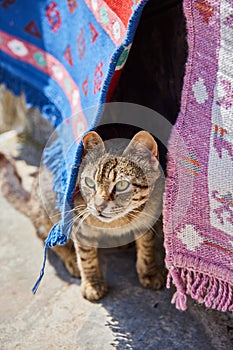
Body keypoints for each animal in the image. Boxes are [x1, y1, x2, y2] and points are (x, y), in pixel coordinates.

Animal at [0, 130, 165, 300]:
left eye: (122, 185)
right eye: (89, 182)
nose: (99, 206)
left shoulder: (149, 222)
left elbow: (146, 249)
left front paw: (149, 272)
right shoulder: (81, 227)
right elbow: (86, 257)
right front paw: (92, 283)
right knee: (47, 238)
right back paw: (71, 259)